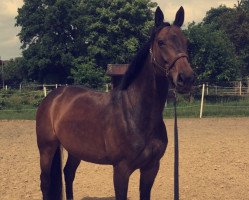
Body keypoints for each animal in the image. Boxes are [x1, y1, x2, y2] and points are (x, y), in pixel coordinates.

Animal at [36, 6, 195, 200]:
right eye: (161, 42)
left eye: (186, 42)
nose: (186, 78)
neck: (135, 114)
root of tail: (53, 97)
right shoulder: (121, 170)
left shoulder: (151, 168)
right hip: (47, 149)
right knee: (45, 182)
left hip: (75, 150)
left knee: (68, 173)